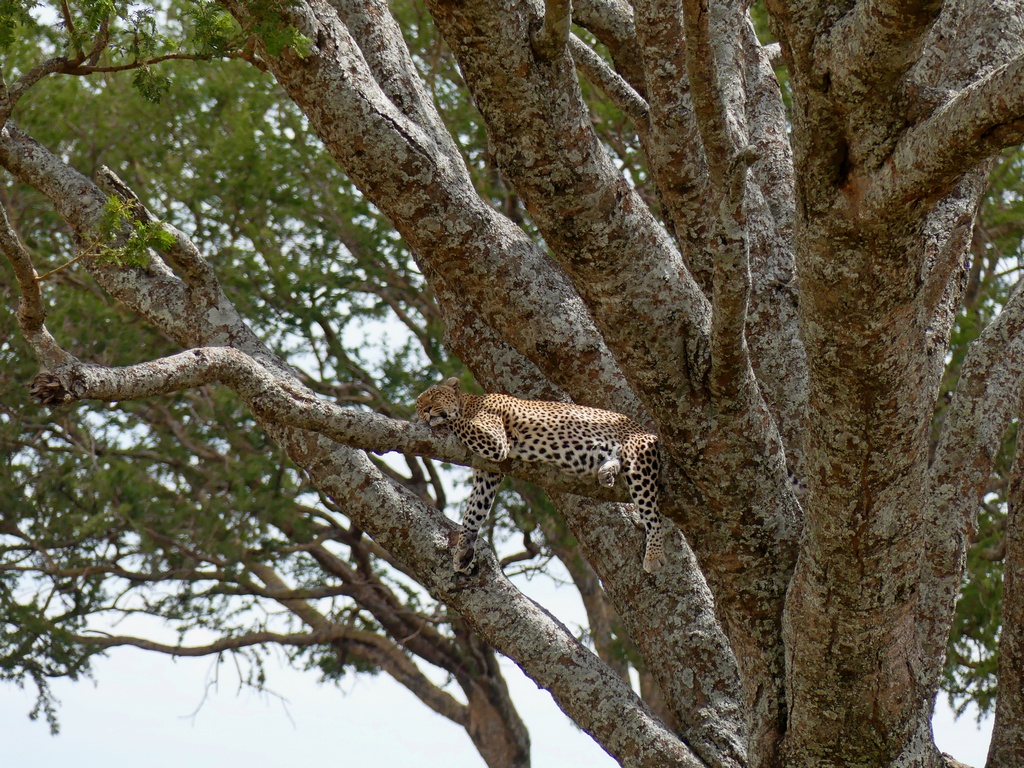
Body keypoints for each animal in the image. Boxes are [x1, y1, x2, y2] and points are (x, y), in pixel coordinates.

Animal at [415, 377, 665, 575]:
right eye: (419, 405)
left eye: (434, 396)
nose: (425, 411)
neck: (468, 403)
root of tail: (646, 430)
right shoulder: (488, 473)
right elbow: (474, 511)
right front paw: (464, 549)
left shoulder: (494, 442)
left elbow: (455, 421)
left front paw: (440, 419)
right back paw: (607, 471)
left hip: (638, 455)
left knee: (652, 512)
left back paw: (654, 554)